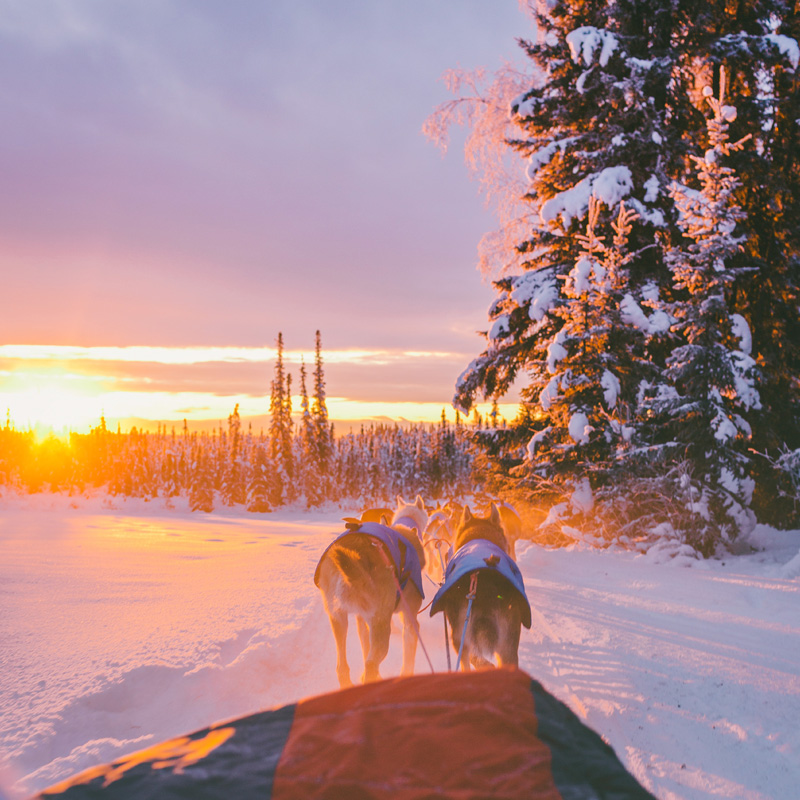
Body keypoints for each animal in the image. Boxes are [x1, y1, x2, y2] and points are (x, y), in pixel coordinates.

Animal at [312, 496, 428, 684]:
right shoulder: (410, 621)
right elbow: (408, 660)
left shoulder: (362, 620)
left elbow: (365, 645)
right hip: (382, 628)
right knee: (371, 665)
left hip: (338, 619)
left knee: (343, 667)